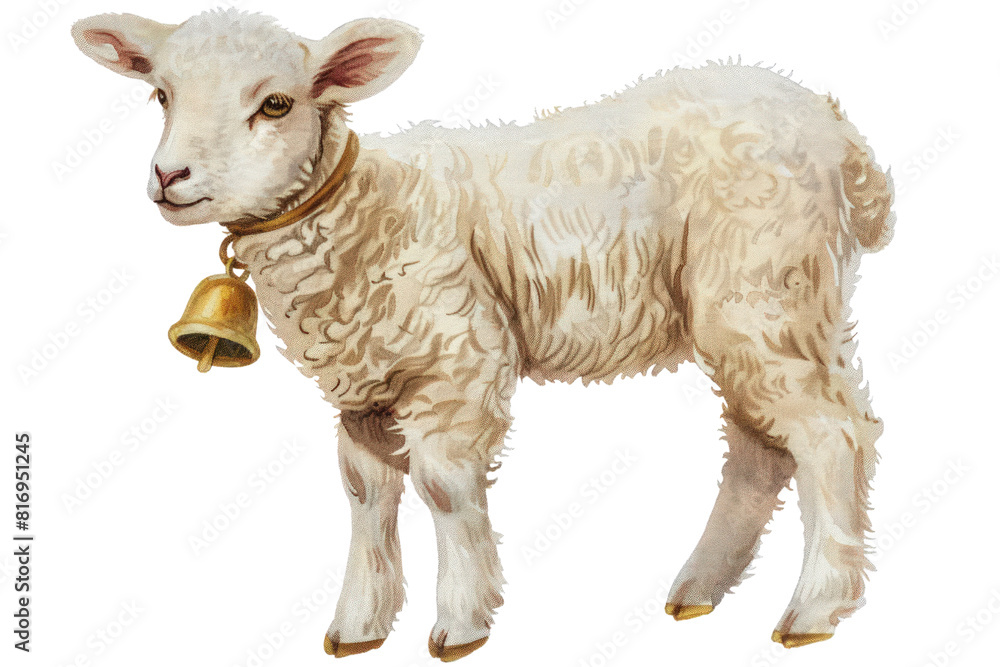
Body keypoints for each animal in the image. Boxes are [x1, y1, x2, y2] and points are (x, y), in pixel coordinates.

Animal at [72, 8, 894, 661]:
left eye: (275, 103)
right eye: (161, 94)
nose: (169, 177)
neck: (362, 211)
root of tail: (845, 139)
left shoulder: (456, 354)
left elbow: (441, 486)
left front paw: (461, 625)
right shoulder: (366, 381)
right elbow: (365, 493)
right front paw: (358, 625)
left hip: (766, 289)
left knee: (830, 433)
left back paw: (815, 608)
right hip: (751, 309)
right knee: (759, 447)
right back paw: (700, 587)